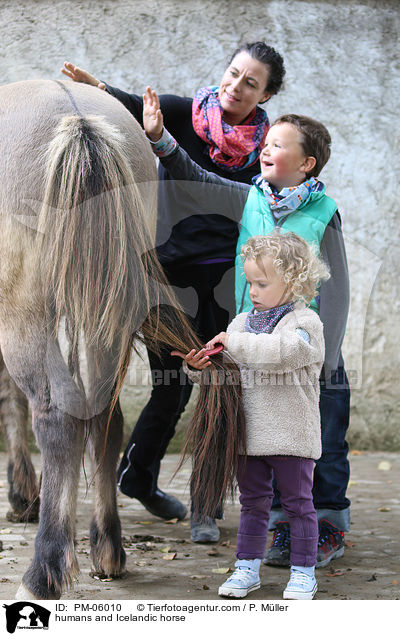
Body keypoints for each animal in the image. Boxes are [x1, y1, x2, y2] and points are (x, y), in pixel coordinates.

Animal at [0, 77, 202, 600]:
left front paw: (22, 493)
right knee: (106, 421)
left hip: (30, 314)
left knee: (56, 419)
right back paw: (107, 548)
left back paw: (45, 568)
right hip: (105, 316)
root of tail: (78, 120)